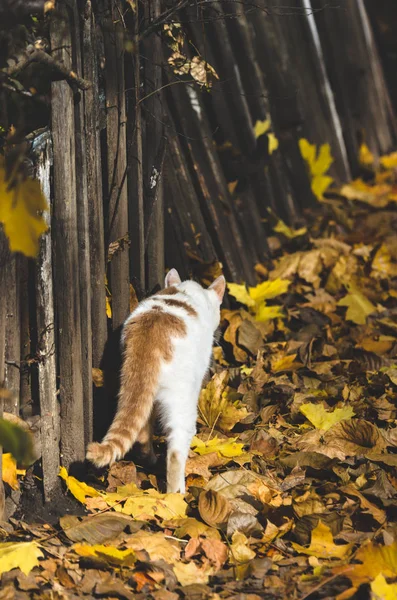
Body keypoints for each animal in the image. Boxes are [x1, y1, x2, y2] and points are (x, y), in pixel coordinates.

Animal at [85, 268, 224, 492]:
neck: (186, 291)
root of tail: (148, 341)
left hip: (131, 388)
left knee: (141, 432)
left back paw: (149, 460)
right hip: (181, 401)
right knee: (175, 452)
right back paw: (176, 495)